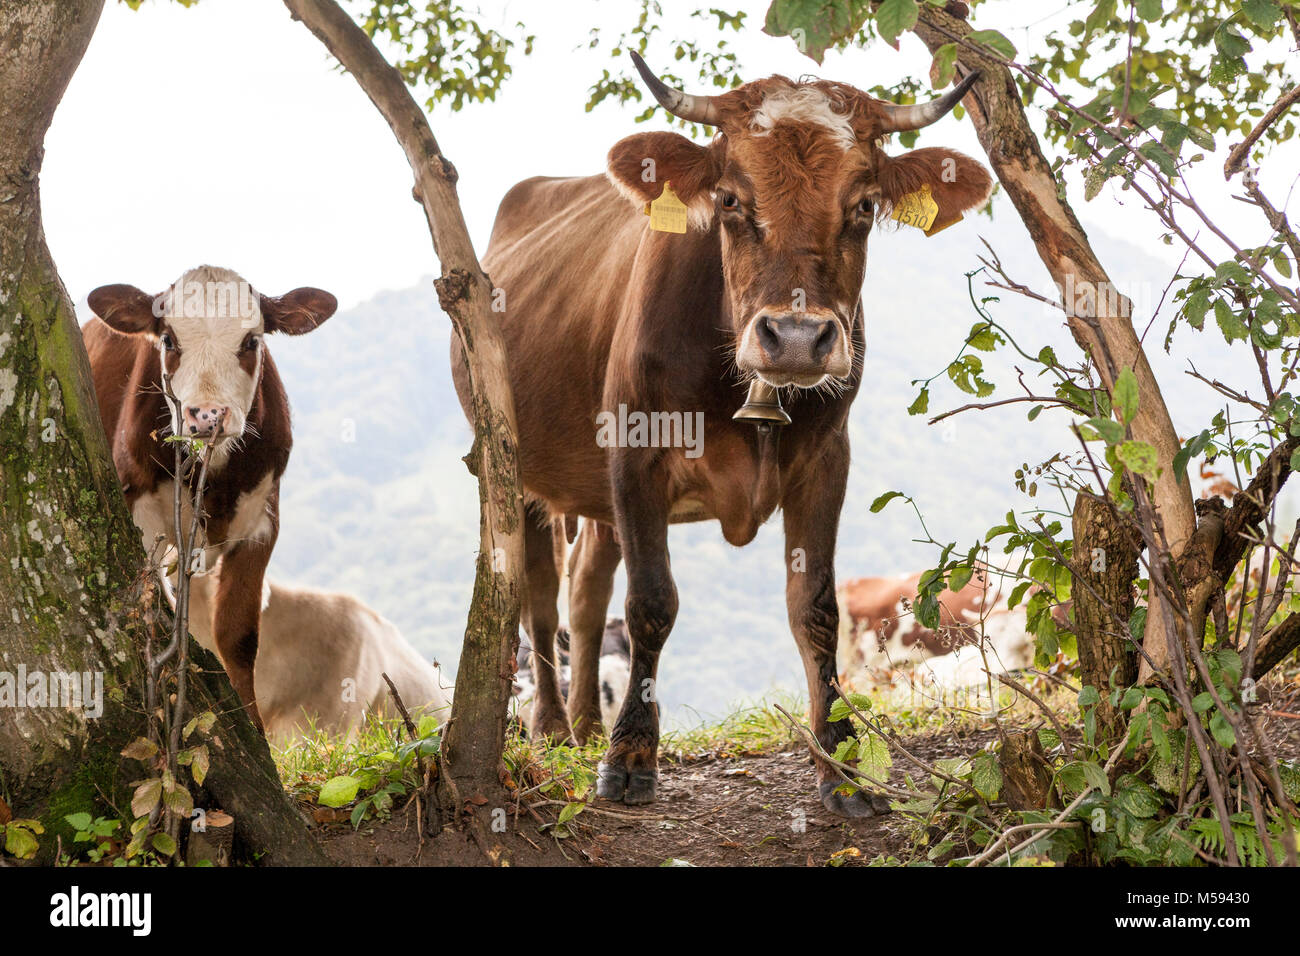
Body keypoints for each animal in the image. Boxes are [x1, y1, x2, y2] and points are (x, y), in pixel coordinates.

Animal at [83, 265, 337, 730]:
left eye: (251, 341)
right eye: (168, 339)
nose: (206, 416)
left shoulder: (263, 523)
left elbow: (239, 637)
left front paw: (253, 727)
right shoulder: (141, 518)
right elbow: (164, 620)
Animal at [452, 54, 992, 816]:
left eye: (863, 206)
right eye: (732, 201)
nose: (794, 335)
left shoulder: (827, 461)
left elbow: (815, 607)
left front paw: (843, 765)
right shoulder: (635, 453)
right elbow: (650, 602)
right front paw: (630, 758)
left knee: (586, 588)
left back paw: (586, 724)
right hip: (517, 467)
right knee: (538, 591)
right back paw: (555, 728)